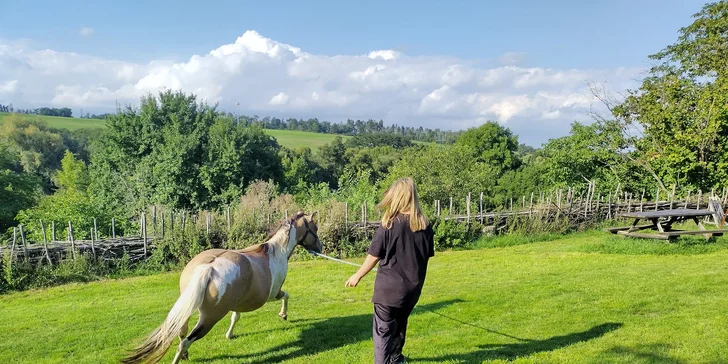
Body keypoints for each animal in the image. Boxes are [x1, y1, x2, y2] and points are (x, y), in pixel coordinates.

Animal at [121, 210, 322, 364]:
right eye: (315, 228)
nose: (319, 248)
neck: (275, 252)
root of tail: (208, 268)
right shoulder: (273, 294)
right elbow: (286, 295)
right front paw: (283, 315)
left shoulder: (238, 302)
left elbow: (235, 317)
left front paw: (229, 335)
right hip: (210, 318)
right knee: (185, 341)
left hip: (189, 307)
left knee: (181, 332)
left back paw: (186, 356)